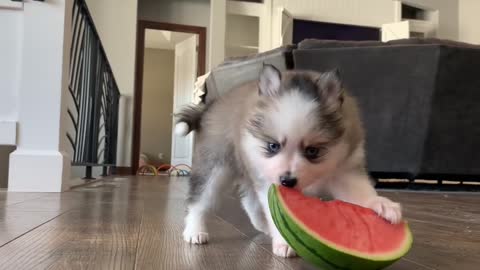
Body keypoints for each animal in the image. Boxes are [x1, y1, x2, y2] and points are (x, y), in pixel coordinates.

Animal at [175, 65, 402, 258]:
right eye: (273, 146)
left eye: (312, 151)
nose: (287, 181)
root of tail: (211, 106)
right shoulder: (268, 182)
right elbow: (275, 212)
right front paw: (283, 241)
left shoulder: (345, 170)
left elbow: (360, 192)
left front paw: (381, 204)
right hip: (214, 167)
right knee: (199, 201)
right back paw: (194, 231)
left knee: (249, 201)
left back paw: (262, 226)